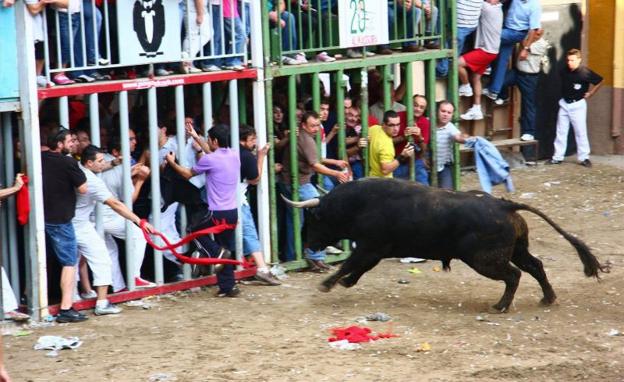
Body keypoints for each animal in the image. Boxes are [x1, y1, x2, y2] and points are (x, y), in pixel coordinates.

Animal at [280, 178, 608, 312]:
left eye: (314, 220)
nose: (307, 244)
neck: (357, 204)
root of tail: (504, 205)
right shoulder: (376, 249)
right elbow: (360, 269)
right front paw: (345, 282)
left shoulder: (370, 245)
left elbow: (352, 263)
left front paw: (328, 284)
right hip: (517, 249)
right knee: (535, 266)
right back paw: (547, 298)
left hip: (485, 260)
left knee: (514, 275)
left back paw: (501, 306)